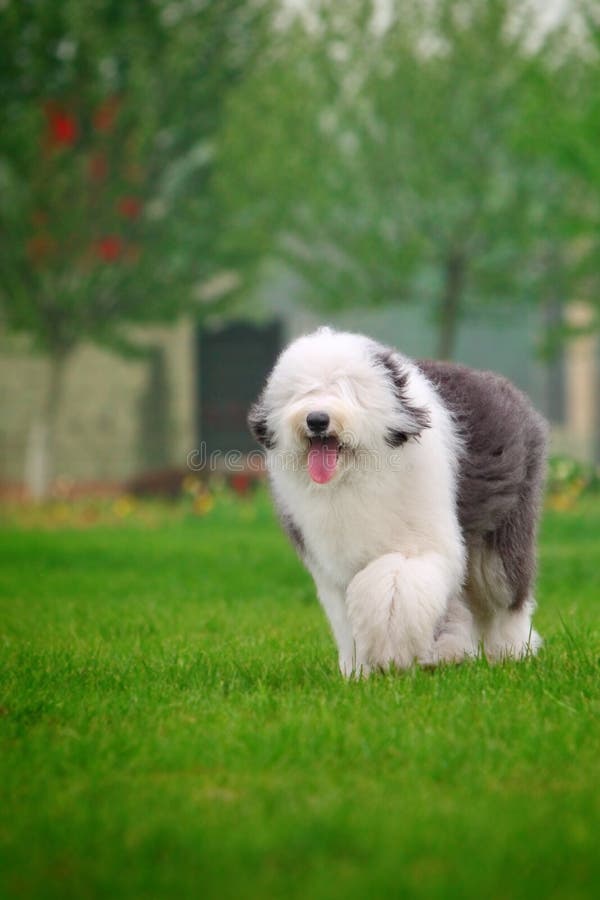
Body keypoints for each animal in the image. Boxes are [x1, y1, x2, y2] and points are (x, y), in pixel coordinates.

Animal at [246, 326, 548, 676]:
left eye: (347, 387)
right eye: (302, 392)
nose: (317, 420)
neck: (357, 475)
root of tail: (502, 384)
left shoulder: (420, 546)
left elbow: (394, 588)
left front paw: (391, 654)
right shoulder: (333, 565)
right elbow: (348, 618)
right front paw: (359, 671)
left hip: (501, 537)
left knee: (503, 598)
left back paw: (511, 652)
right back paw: (451, 652)